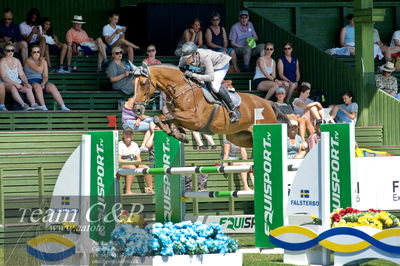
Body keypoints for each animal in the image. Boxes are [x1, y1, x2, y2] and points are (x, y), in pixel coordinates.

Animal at [133, 63, 286, 149]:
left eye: (142, 83)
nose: (137, 109)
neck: (182, 88)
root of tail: (268, 103)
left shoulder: (195, 119)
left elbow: (165, 116)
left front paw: (177, 133)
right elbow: (161, 118)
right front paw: (179, 134)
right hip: (240, 138)